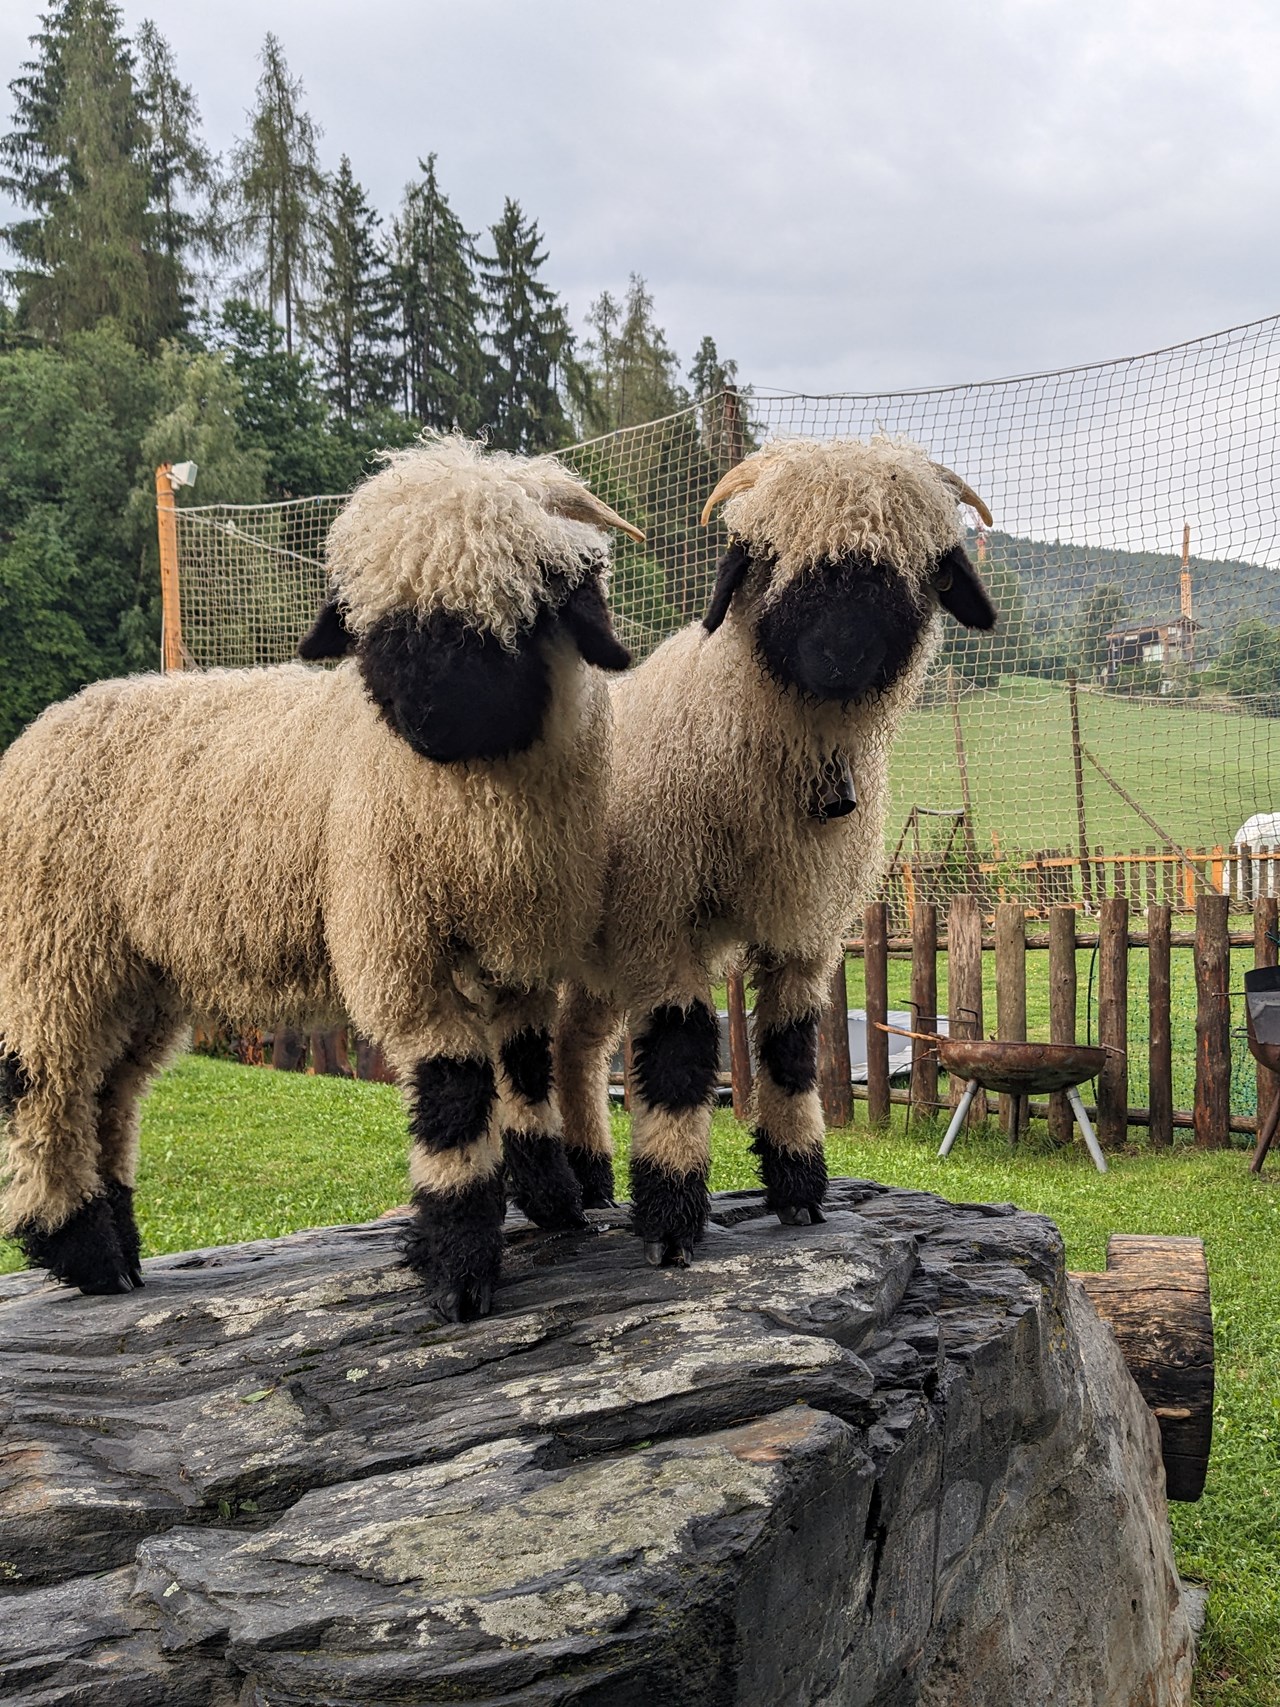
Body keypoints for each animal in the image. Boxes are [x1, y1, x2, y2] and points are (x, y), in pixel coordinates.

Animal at [0, 435, 639, 1319]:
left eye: (516, 613)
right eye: (376, 624)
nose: (423, 717)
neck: (481, 805)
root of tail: (39, 729)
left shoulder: (521, 950)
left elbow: (525, 1067)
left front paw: (553, 1200)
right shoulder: (396, 945)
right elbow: (452, 1088)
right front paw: (460, 1266)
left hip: (136, 974)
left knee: (108, 1094)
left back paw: (120, 1249)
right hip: (52, 950)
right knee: (45, 1089)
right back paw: (81, 1249)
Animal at [554, 436, 995, 1266]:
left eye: (911, 568)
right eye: (764, 558)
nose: (840, 655)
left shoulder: (805, 930)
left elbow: (792, 1053)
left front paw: (799, 1191)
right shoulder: (662, 918)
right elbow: (679, 1055)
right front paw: (671, 1219)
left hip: (601, 955)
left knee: (580, 1048)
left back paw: (590, 1180)